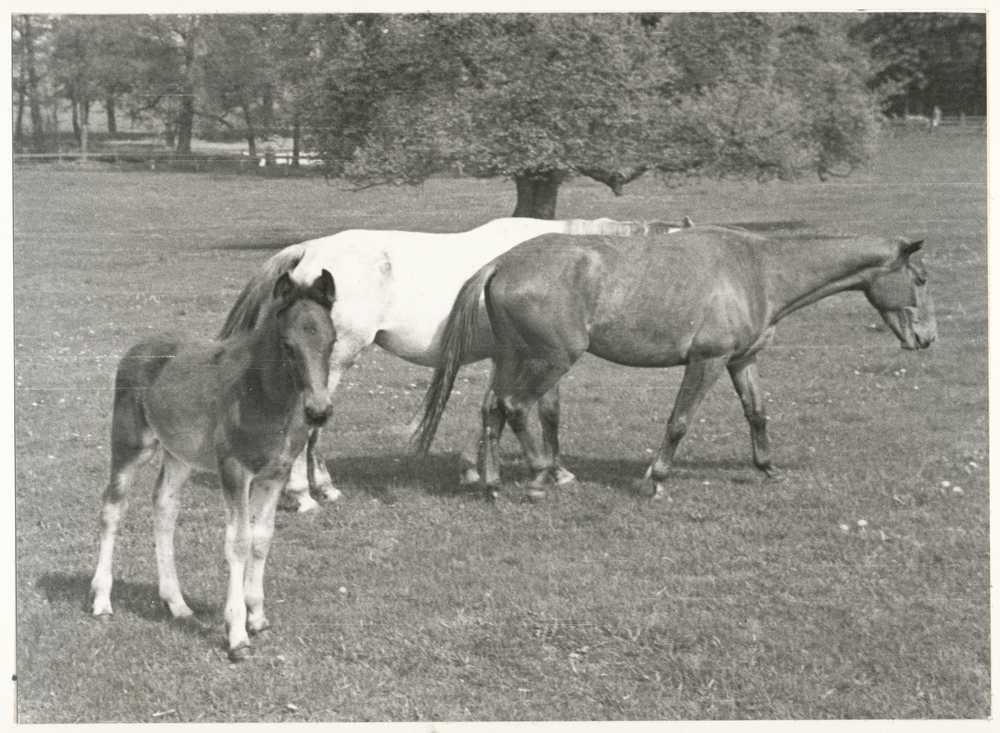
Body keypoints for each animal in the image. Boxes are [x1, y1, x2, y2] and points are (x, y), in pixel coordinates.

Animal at [88, 272, 336, 660]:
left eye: (332, 341)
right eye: (287, 345)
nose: (319, 412)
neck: (266, 396)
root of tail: (137, 348)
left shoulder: (275, 474)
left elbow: (262, 538)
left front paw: (257, 616)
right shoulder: (234, 470)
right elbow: (238, 542)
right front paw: (236, 633)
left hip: (179, 455)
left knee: (164, 507)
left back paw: (176, 603)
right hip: (131, 446)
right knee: (112, 508)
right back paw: (101, 600)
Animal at [221, 214, 688, 508]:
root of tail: (310, 250)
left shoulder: (514, 359)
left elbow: (511, 410)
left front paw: (483, 470)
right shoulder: (533, 359)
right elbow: (528, 410)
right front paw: (538, 472)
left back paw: (325, 489)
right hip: (330, 364)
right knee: (307, 427)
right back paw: (303, 495)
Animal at [416, 226, 936, 500]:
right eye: (921, 279)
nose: (927, 338)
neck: (759, 271)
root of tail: (501, 263)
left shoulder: (742, 361)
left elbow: (757, 413)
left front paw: (768, 467)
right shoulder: (708, 361)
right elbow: (679, 421)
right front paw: (657, 479)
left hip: (513, 358)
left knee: (492, 410)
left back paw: (492, 484)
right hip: (551, 361)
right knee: (517, 407)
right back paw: (542, 476)